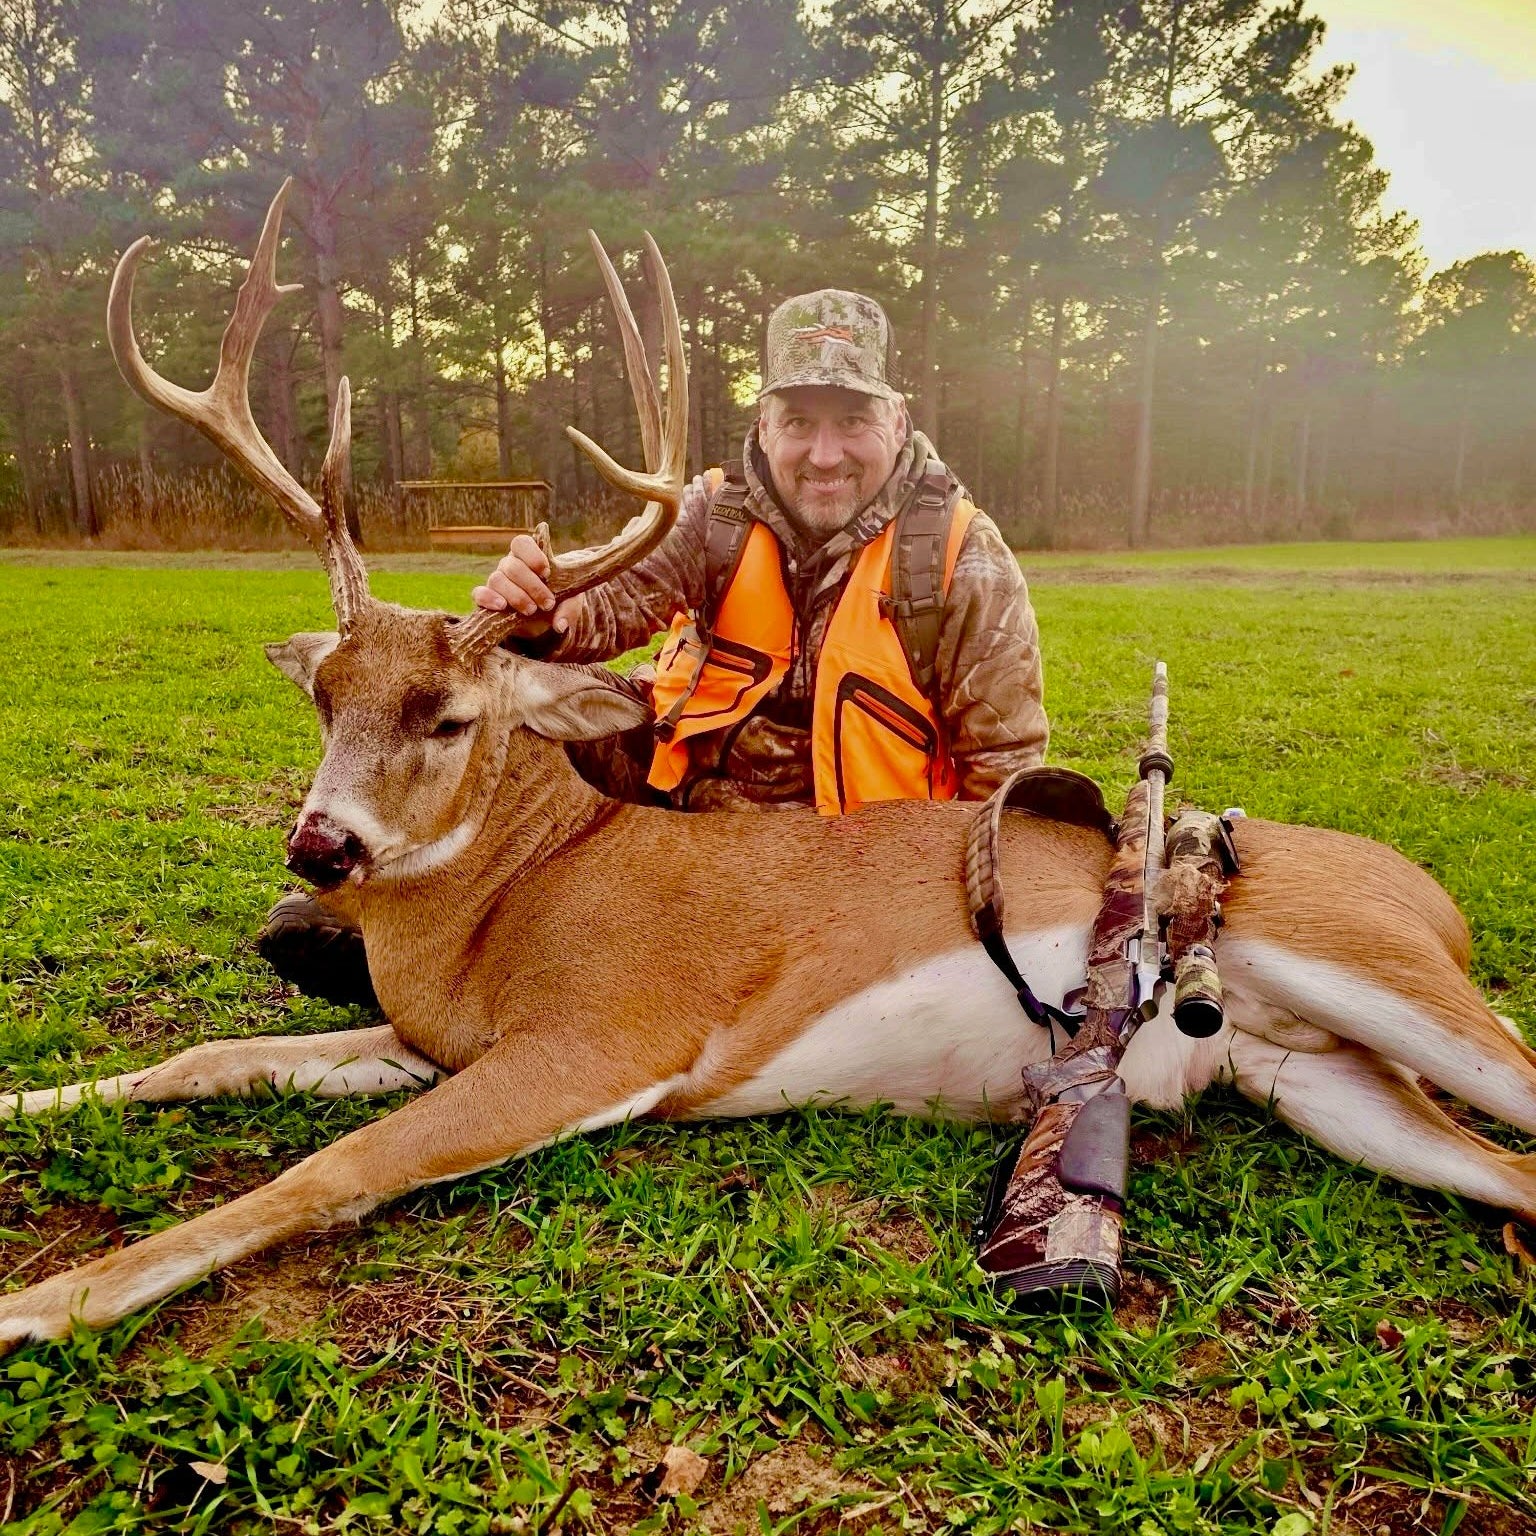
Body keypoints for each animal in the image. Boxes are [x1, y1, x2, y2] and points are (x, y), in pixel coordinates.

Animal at [1, 181, 1533, 1355]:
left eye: (448, 715)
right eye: (326, 694)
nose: (320, 851)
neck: (507, 907)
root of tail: (1433, 893)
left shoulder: (610, 1036)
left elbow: (323, 1175)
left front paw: (45, 1304)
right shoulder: (429, 1037)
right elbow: (214, 1053)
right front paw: (27, 1101)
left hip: (1391, 976)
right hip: (1309, 1075)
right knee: (1511, 1173)